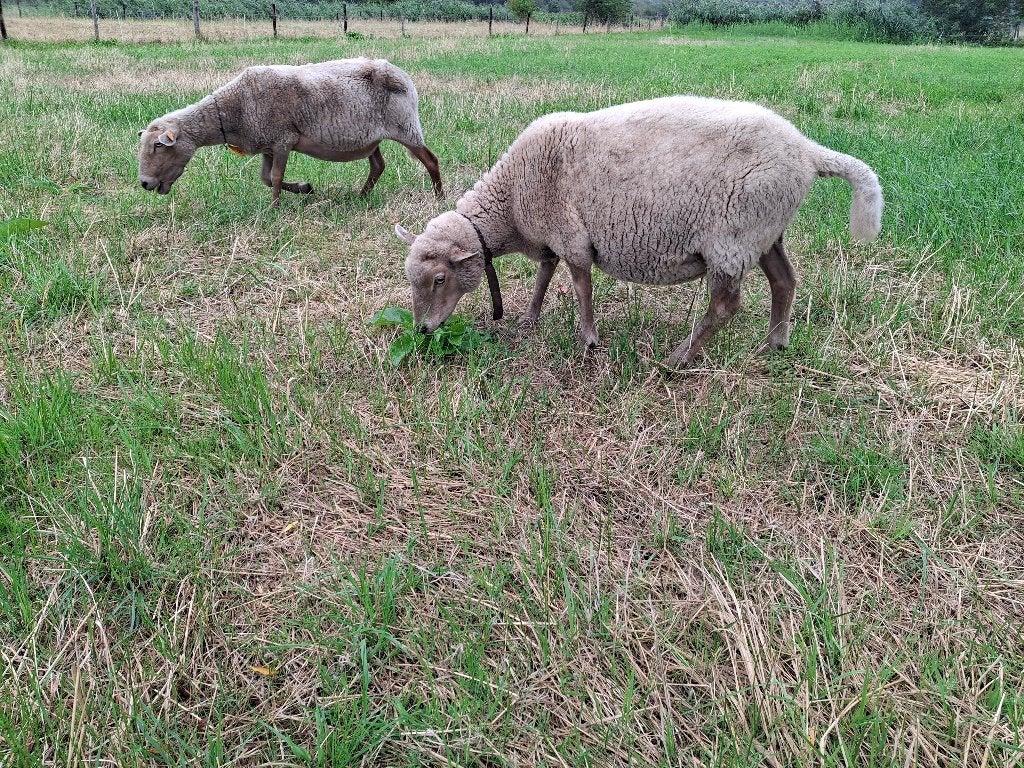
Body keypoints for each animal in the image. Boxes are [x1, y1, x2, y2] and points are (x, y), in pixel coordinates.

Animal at [138, 57, 443, 206]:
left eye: (158, 146)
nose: (144, 183)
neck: (233, 110)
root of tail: (404, 75)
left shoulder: (282, 139)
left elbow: (274, 177)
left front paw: (274, 208)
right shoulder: (267, 144)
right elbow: (265, 177)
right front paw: (303, 188)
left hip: (405, 127)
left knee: (430, 160)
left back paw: (439, 198)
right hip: (370, 137)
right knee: (378, 165)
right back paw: (360, 197)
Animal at [395, 95, 883, 369]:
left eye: (439, 279)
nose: (423, 331)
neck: (512, 200)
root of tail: (807, 150)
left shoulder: (570, 234)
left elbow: (581, 285)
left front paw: (589, 340)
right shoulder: (551, 236)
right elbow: (544, 276)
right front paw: (529, 318)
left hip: (733, 236)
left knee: (726, 305)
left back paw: (680, 359)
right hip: (765, 231)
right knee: (784, 282)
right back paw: (774, 346)